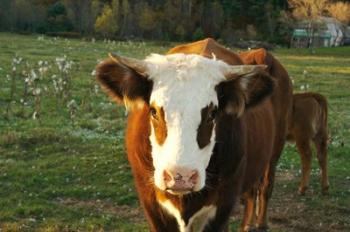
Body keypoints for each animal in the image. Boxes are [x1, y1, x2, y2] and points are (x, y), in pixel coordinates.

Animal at [95, 39, 292, 231]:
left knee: (265, 186)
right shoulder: (152, 204)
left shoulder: (223, 206)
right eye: (153, 111)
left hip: (275, 151)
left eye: (212, 113)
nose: (180, 177)